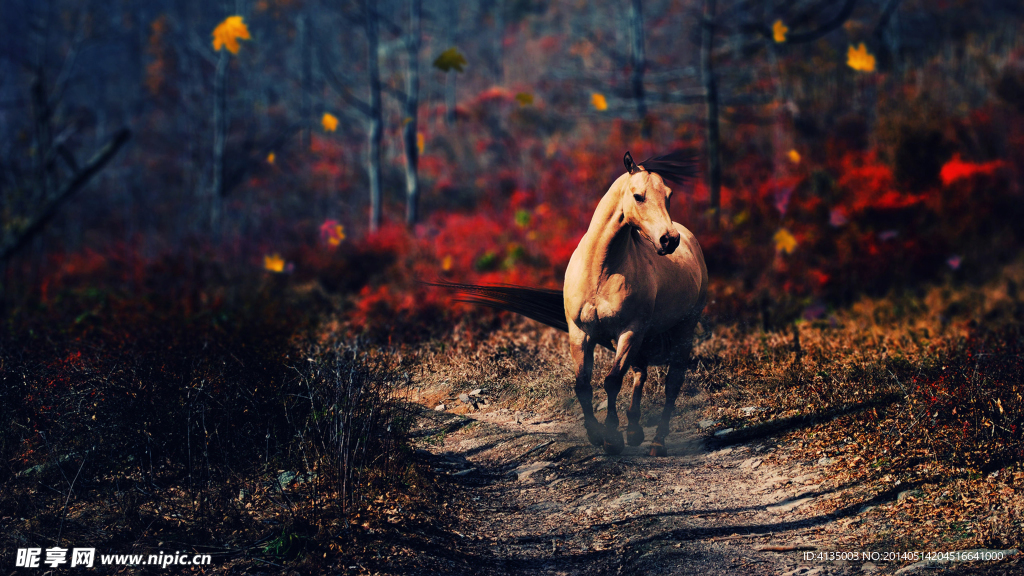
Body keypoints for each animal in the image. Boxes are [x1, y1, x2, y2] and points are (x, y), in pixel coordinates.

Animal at [436, 150, 708, 456]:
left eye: (669, 195)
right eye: (639, 196)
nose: (669, 240)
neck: (601, 270)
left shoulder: (628, 331)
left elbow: (612, 381)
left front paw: (611, 438)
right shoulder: (581, 332)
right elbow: (582, 385)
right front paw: (596, 435)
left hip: (681, 328)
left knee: (672, 382)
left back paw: (657, 442)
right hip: (645, 335)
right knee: (641, 372)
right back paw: (635, 432)